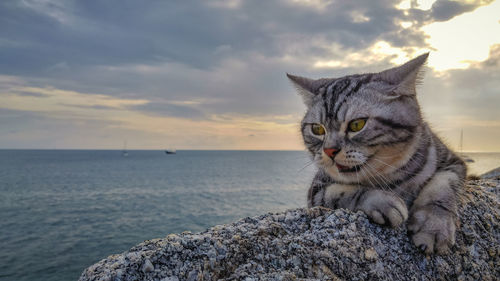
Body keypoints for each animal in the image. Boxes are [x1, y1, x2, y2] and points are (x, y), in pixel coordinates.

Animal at [288, 53, 466, 255]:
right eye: (317, 129)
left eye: (357, 125)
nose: (329, 150)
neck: (391, 177)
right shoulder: (316, 190)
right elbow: (340, 192)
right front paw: (382, 201)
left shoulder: (453, 161)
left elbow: (442, 187)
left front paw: (434, 225)